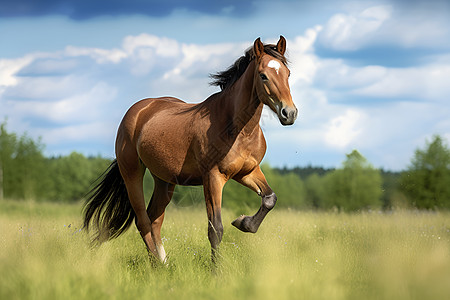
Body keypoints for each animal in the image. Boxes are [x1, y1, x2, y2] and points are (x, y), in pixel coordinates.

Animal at [82, 35, 298, 262]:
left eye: (288, 73)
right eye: (263, 75)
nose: (289, 113)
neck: (238, 129)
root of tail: (138, 110)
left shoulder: (247, 172)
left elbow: (270, 199)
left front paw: (243, 223)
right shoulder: (213, 177)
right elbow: (216, 229)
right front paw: (217, 268)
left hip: (164, 180)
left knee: (154, 219)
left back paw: (163, 263)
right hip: (132, 173)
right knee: (142, 220)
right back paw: (157, 264)